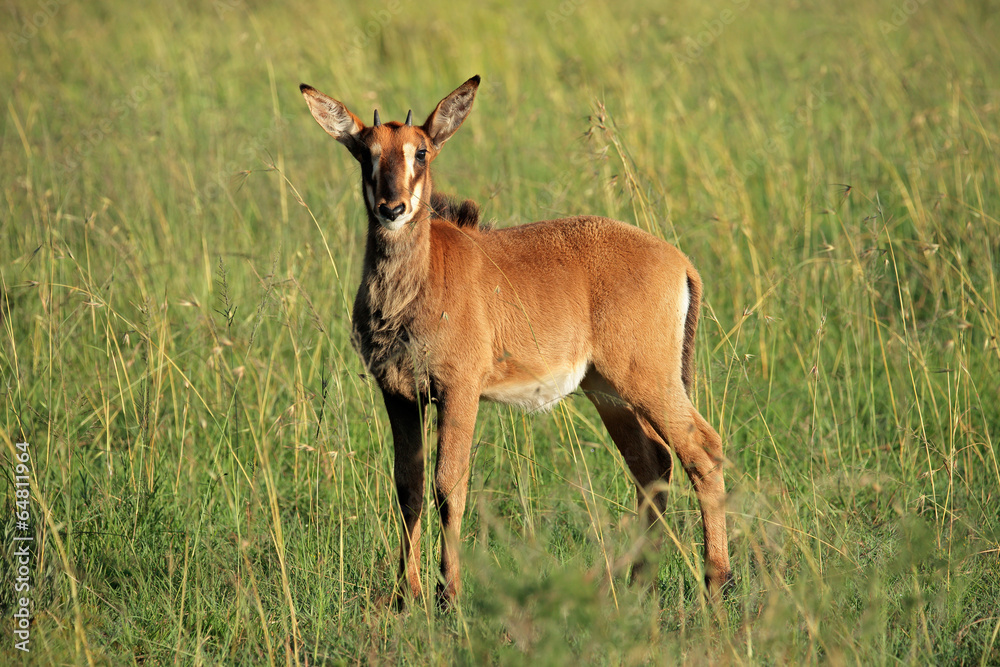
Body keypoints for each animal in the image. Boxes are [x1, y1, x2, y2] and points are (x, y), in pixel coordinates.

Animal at [299, 75, 730, 606]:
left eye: (421, 151)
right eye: (365, 152)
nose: (392, 208)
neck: (416, 283)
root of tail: (679, 261)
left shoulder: (459, 390)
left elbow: (449, 484)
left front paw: (449, 594)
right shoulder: (399, 395)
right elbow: (407, 486)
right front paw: (407, 596)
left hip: (648, 380)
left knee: (702, 452)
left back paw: (716, 583)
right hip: (608, 393)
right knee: (653, 465)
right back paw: (634, 585)